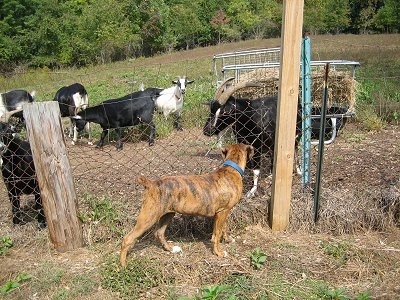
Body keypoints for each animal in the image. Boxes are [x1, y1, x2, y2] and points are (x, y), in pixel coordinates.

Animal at [120, 144, 255, 268]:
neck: (231, 169)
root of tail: (151, 183)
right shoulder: (222, 212)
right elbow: (216, 234)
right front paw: (219, 253)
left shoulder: (224, 211)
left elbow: (223, 228)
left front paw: (227, 239)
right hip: (148, 217)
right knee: (127, 239)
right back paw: (123, 265)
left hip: (167, 214)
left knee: (159, 233)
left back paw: (170, 249)